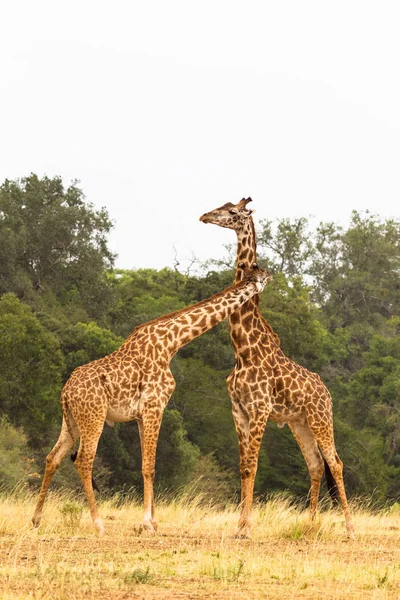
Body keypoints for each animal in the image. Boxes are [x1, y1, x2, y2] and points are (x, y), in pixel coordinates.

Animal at [31, 264, 268, 536]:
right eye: (262, 276)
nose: (268, 280)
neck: (172, 342)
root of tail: (66, 392)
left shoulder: (141, 414)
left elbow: (147, 464)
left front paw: (153, 522)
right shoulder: (156, 405)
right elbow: (150, 466)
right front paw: (147, 523)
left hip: (70, 420)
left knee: (52, 457)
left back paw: (36, 519)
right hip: (93, 418)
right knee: (83, 461)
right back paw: (99, 524)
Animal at [198, 197, 354, 540]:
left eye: (232, 212)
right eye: (222, 205)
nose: (204, 216)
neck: (243, 349)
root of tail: (327, 393)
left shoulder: (259, 408)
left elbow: (253, 465)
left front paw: (246, 528)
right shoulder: (238, 410)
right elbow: (244, 466)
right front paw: (239, 526)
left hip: (321, 418)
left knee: (335, 463)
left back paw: (350, 529)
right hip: (299, 423)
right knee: (315, 464)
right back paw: (310, 524)